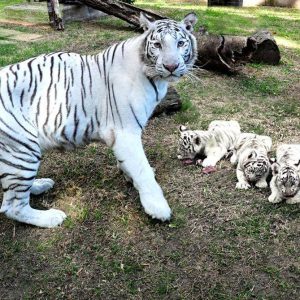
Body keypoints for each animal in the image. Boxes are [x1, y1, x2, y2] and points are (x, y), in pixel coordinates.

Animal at [0, 12, 199, 227]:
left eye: (180, 43)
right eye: (157, 45)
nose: (171, 66)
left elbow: (130, 164)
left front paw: (129, 176)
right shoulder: (126, 131)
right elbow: (142, 169)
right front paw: (158, 208)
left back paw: (39, 185)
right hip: (22, 149)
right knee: (12, 206)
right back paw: (51, 217)